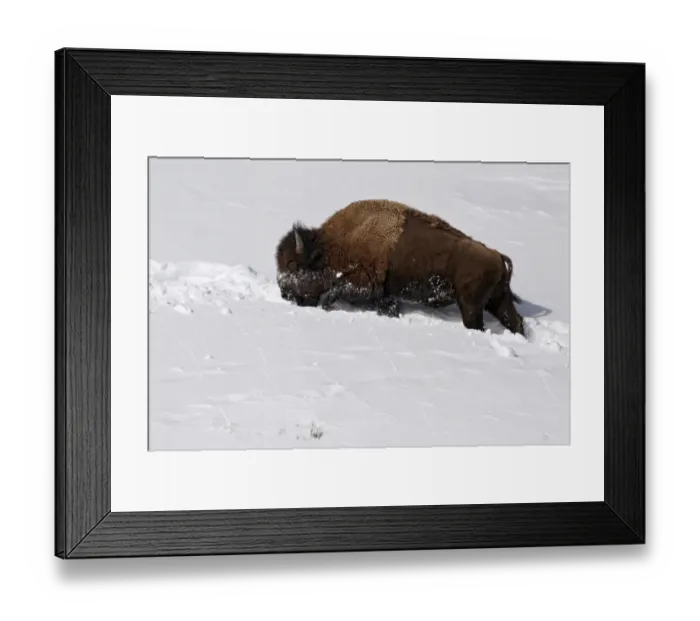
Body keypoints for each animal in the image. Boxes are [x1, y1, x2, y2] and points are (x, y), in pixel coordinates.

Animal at [275, 199, 525, 336]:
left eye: (292, 264)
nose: (284, 293)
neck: (331, 246)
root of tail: (496, 255)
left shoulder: (363, 283)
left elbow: (334, 292)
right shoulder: (381, 292)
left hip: (471, 306)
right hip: (497, 299)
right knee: (515, 321)